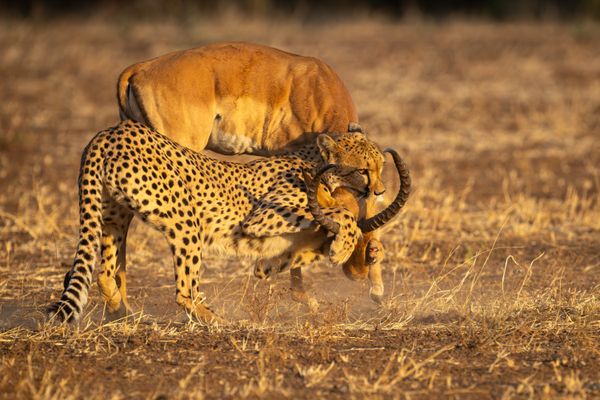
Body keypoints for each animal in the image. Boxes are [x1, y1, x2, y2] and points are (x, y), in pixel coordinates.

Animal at [48, 120, 408, 324]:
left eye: (380, 165)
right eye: (363, 169)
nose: (380, 190)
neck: (318, 166)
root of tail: (113, 131)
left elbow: (287, 256)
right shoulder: (262, 217)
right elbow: (342, 216)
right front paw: (344, 245)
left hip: (113, 215)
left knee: (105, 272)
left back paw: (123, 313)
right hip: (185, 222)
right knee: (184, 291)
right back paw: (217, 320)